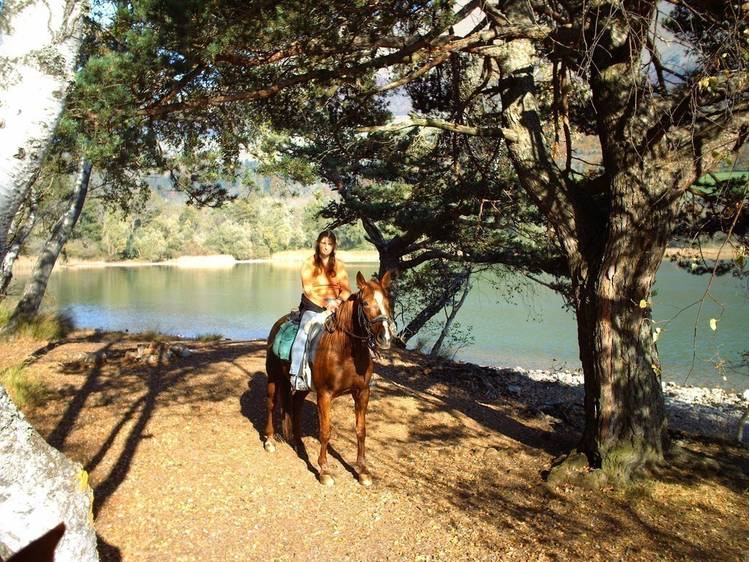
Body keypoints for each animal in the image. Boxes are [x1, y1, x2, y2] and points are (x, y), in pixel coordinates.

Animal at [264, 271, 393, 486]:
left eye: (388, 301)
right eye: (365, 303)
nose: (385, 338)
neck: (345, 351)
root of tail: (278, 324)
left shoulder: (362, 392)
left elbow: (361, 430)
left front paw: (363, 470)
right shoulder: (325, 395)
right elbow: (325, 431)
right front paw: (324, 471)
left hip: (304, 387)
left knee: (295, 407)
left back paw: (298, 444)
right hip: (273, 377)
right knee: (271, 405)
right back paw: (269, 440)